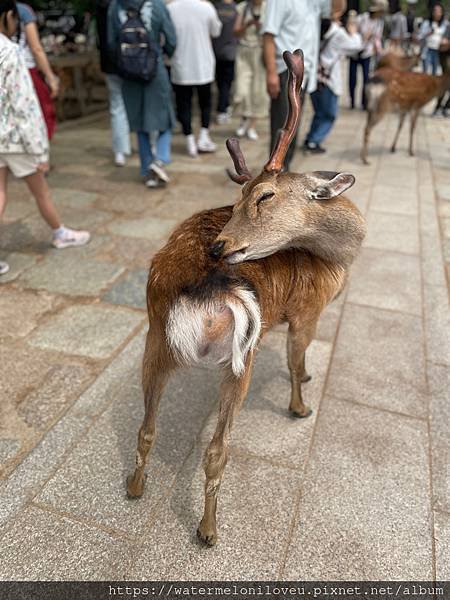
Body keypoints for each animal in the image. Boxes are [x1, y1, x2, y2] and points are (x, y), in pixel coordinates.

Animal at [126, 49, 366, 548]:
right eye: (239, 198)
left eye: (263, 196)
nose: (220, 245)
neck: (336, 264)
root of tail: (204, 287)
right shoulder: (307, 311)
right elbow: (295, 361)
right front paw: (301, 404)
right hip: (241, 357)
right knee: (217, 450)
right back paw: (208, 530)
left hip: (155, 338)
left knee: (146, 428)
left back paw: (135, 487)